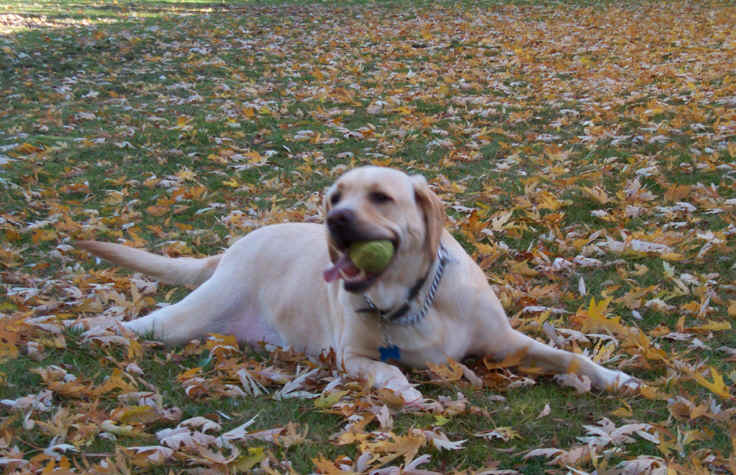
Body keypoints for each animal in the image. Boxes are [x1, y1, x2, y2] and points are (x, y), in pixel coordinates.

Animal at [77, 167, 636, 402]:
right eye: (334, 197)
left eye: (381, 197)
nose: (335, 220)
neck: (412, 301)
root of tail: (236, 245)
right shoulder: (350, 356)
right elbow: (386, 371)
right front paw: (404, 389)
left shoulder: (507, 343)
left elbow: (570, 357)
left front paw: (614, 377)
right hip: (190, 316)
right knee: (144, 324)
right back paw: (92, 327)